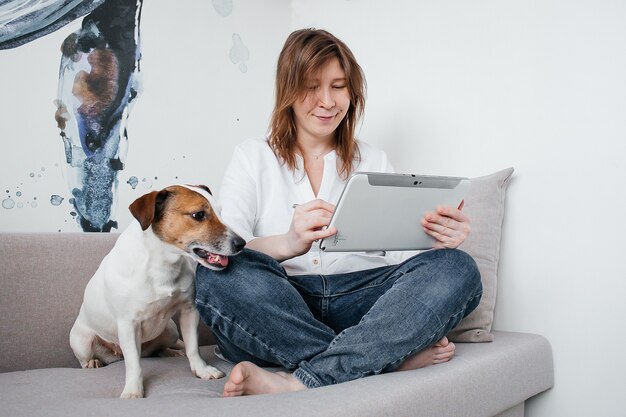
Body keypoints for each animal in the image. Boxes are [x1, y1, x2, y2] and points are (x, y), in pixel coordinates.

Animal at [69, 184, 244, 396]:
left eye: (220, 212)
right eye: (199, 215)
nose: (241, 243)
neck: (163, 264)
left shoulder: (188, 311)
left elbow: (193, 347)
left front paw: (201, 370)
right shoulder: (128, 324)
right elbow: (134, 364)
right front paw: (133, 390)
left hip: (170, 330)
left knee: (158, 350)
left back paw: (173, 352)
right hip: (82, 342)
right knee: (89, 358)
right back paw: (93, 362)